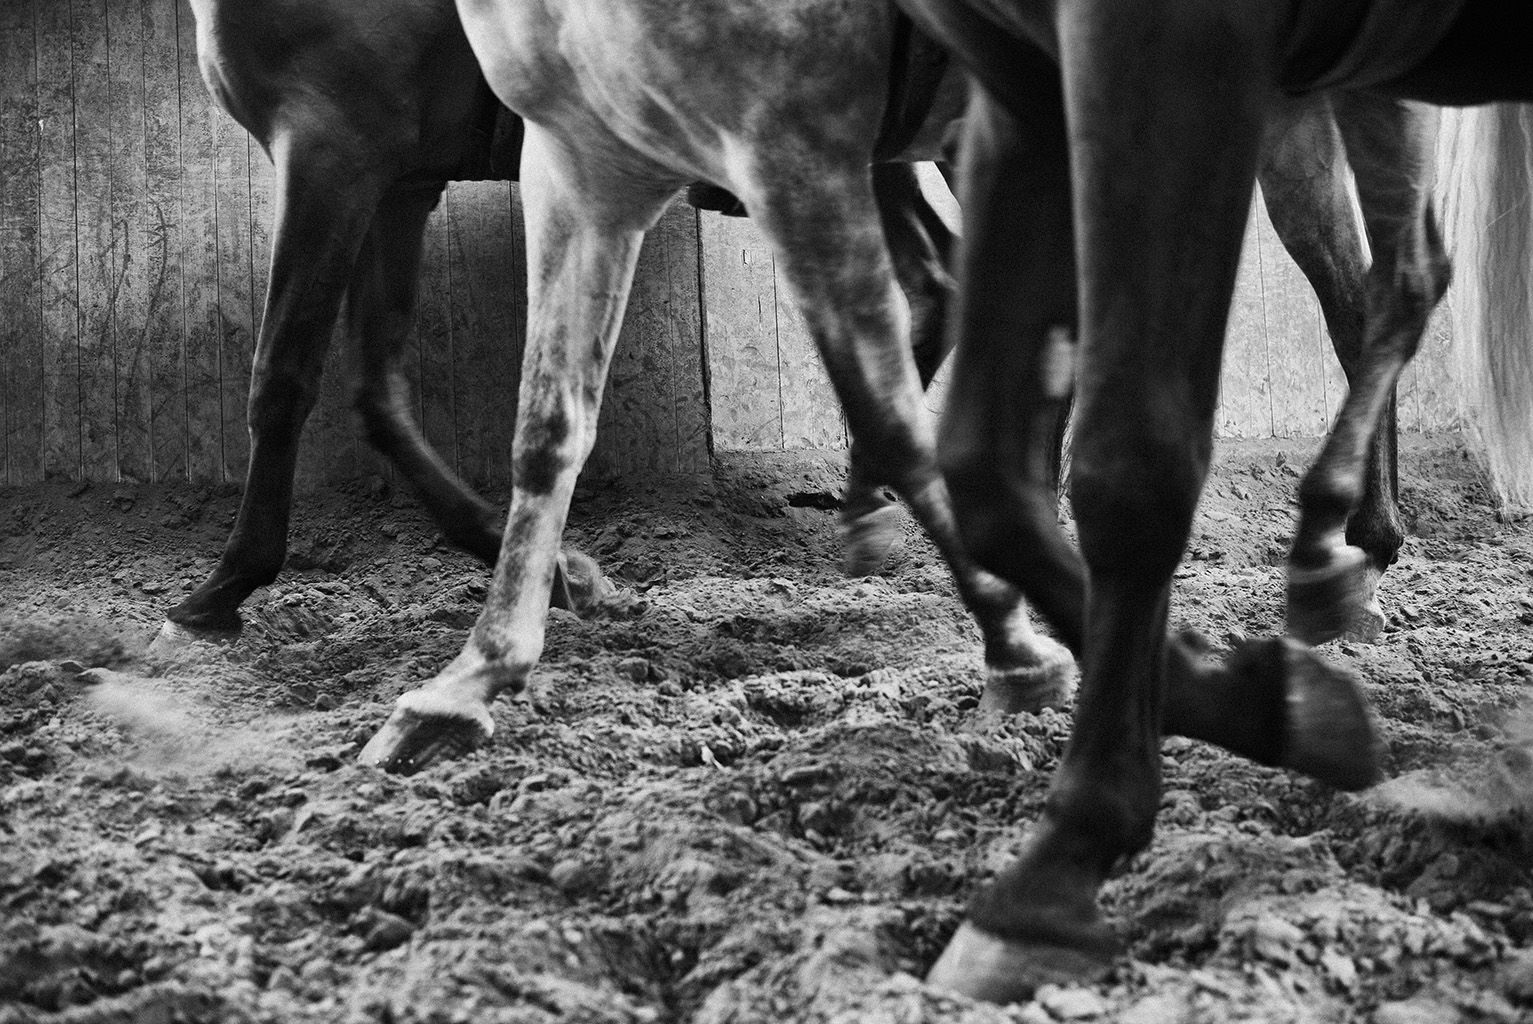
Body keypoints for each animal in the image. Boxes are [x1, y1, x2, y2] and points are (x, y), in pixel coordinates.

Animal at [892, 0, 1533, 1003]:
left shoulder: (1164, 57)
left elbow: (1129, 463)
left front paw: (1057, 869)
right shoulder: (1017, 80)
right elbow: (988, 468)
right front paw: (1241, 699)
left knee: (1397, 279)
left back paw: (1338, 553)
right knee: (1381, 282)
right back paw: (1338, 557)